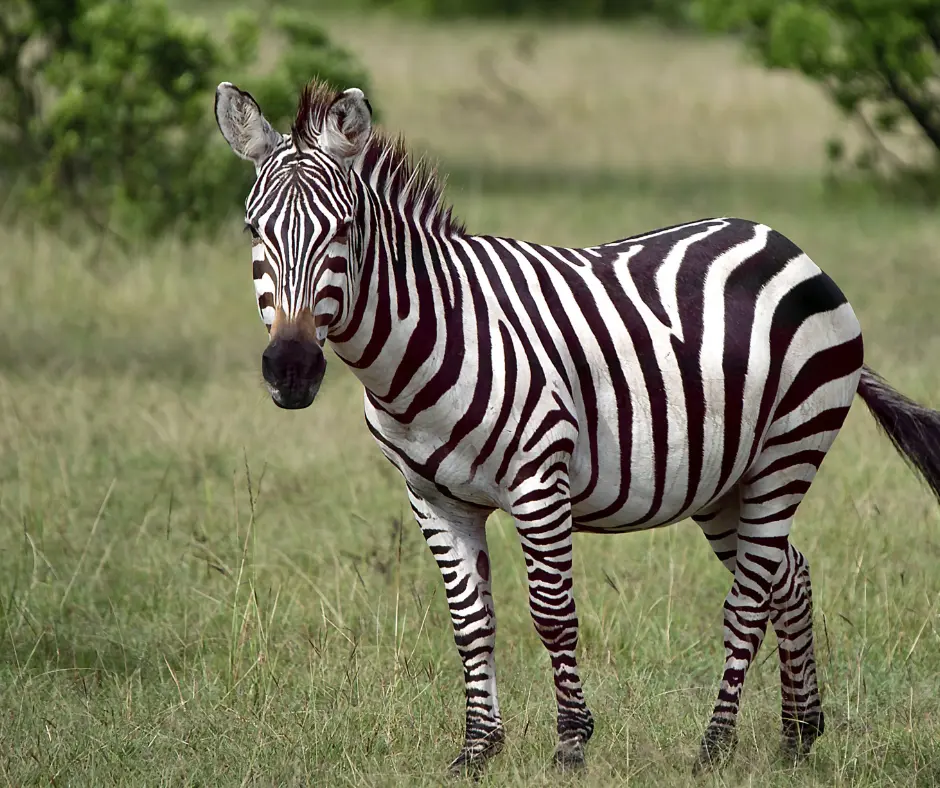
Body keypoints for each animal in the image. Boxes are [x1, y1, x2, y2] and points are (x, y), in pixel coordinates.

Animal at [213, 78, 940, 768]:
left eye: (343, 229)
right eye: (252, 232)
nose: (292, 368)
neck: (429, 337)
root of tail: (786, 243)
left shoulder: (539, 480)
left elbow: (552, 616)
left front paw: (571, 743)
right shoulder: (433, 498)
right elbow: (470, 622)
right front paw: (478, 749)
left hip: (787, 452)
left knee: (749, 599)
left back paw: (715, 746)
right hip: (725, 477)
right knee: (789, 575)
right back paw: (798, 736)